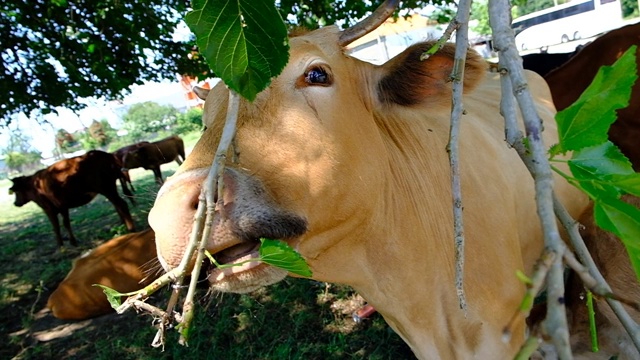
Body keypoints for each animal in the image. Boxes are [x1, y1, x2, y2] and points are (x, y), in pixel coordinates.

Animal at [9, 150, 137, 248]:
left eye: (16, 191)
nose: (15, 203)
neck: (34, 185)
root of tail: (103, 154)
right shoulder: (62, 206)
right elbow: (65, 223)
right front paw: (71, 242)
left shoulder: (49, 209)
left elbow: (57, 226)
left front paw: (62, 244)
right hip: (110, 188)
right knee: (118, 204)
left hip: (107, 188)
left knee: (121, 204)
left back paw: (131, 229)